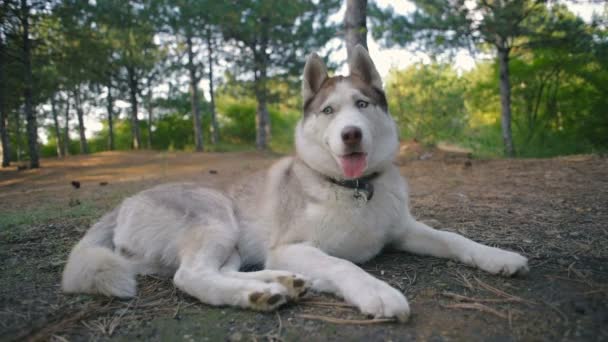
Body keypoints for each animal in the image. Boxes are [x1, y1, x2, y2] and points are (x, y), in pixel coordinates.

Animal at [61, 45, 528, 320]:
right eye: (328, 111)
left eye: (361, 105)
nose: (351, 134)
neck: (351, 189)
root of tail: (123, 203)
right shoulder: (292, 245)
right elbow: (342, 265)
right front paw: (376, 292)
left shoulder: (403, 230)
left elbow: (453, 238)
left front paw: (498, 256)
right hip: (216, 217)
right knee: (190, 277)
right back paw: (258, 295)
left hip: (230, 244)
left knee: (221, 270)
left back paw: (281, 283)